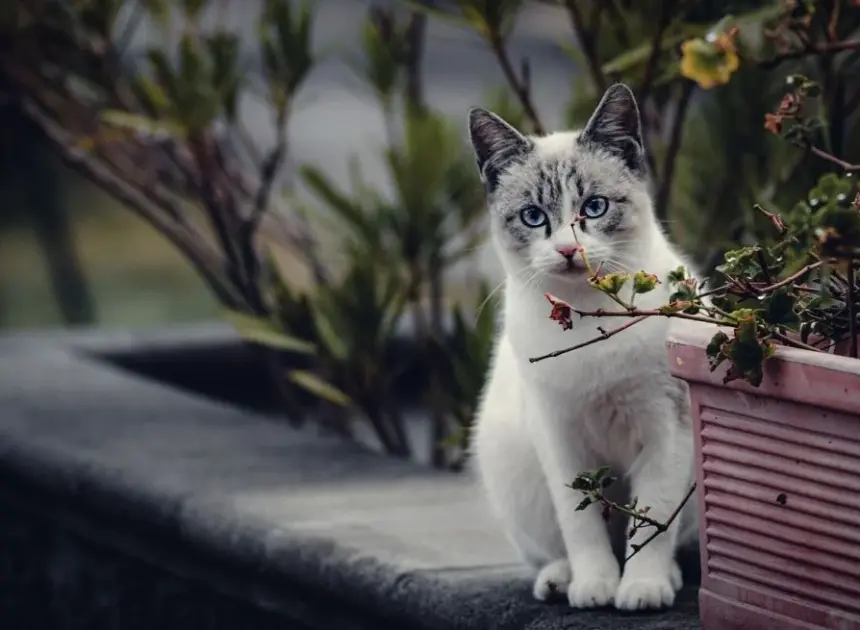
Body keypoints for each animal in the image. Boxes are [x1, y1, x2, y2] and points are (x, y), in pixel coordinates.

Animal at [470, 84, 700, 612]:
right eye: (534, 217)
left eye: (593, 208)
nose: (568, 250)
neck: (589, 320)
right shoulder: (559, 438)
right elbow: (582, 525)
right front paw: (596, 586)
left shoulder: (666, 427)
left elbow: (652, 523)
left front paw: (641, 588)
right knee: (555, 547)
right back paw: (559, 580)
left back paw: (669, 577)